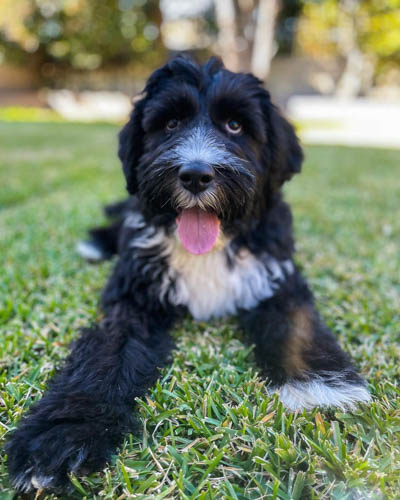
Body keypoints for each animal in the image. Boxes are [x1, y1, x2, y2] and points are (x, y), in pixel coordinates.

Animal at [6, 56, 370, 494]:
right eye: (171, 123)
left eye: (235, 125)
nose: (196, 175)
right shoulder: (132, 298)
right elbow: (104, 355)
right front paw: (62, 435)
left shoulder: (277, 276)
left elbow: (297, 325)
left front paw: (320, 388)